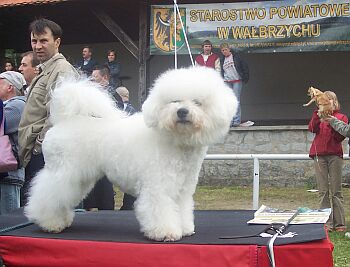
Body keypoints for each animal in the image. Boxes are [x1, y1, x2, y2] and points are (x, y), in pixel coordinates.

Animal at [25, 67, 238, 243]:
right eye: (174, 101)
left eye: (197, 103)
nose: (182, 111)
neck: (174, 141)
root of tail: (63, 121)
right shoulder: (158, 187)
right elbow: (160, 209)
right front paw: (166, 232)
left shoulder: (183, 190)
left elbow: (182, 209)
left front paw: (184, 228)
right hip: (63, 172)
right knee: (47, 194)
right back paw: (49, 223)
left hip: (79, 178)